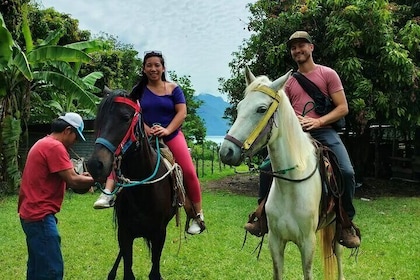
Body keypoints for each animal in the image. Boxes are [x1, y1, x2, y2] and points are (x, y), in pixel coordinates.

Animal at [88, 89, 180, 280]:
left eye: (125, 117)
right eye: (99, 120)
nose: (94, 165)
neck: (142, 191)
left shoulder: (159, 234)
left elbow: (154, 272)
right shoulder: (124, 233)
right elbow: (128, 270)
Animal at [220, 68, 344, 280]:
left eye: (261, 109)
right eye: (240, 107)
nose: (226, 152)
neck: (291, 186)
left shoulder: (307, 244)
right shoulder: (275, 241)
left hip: (337, 226)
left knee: (339, 254)